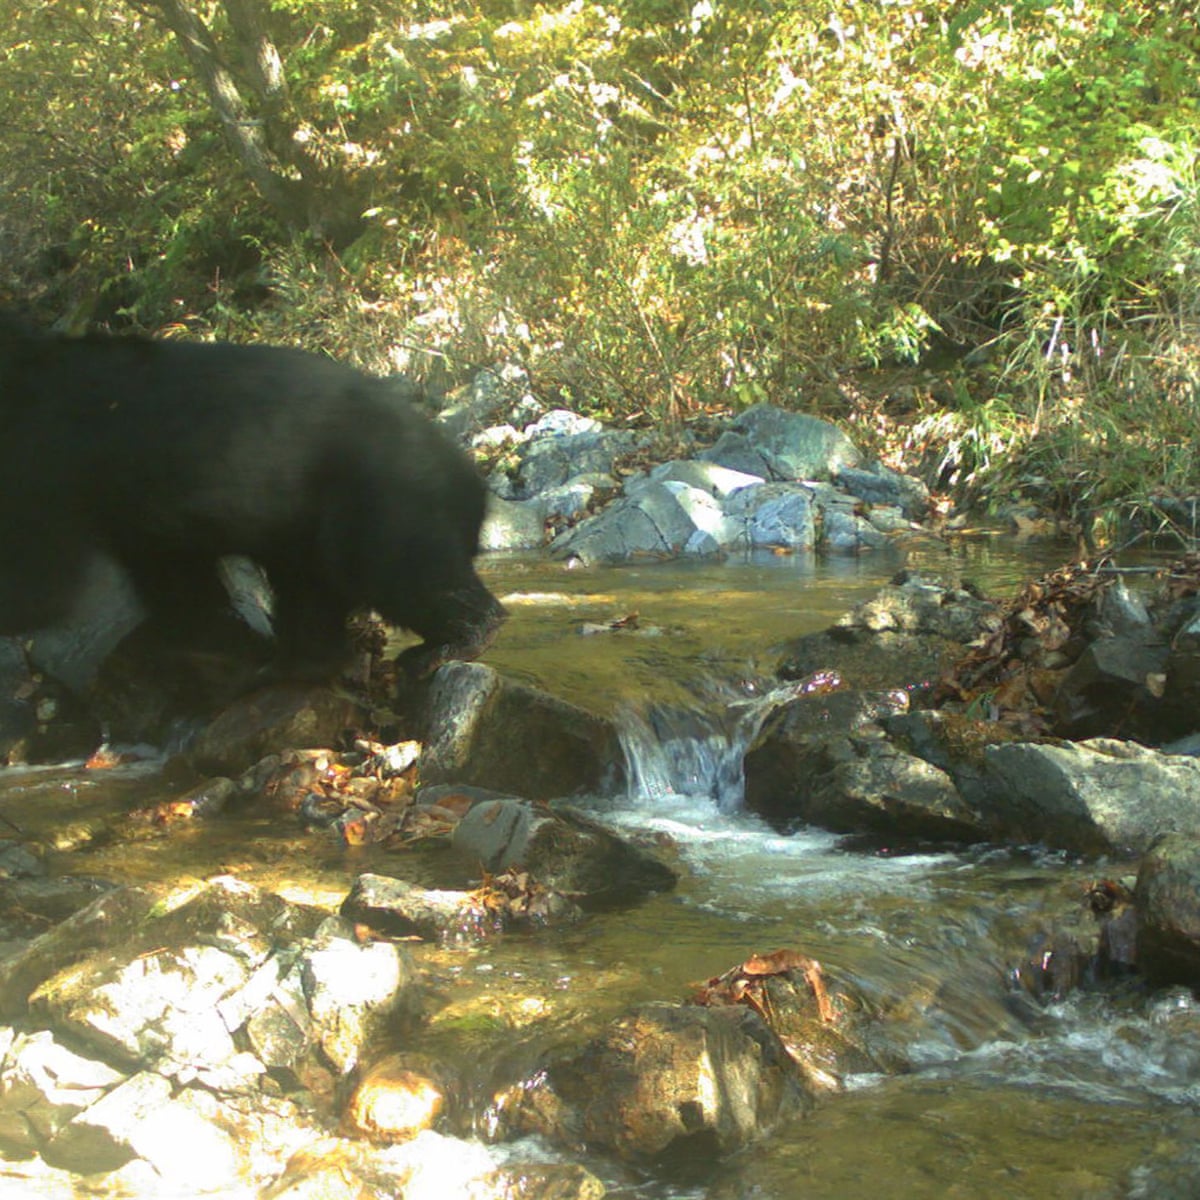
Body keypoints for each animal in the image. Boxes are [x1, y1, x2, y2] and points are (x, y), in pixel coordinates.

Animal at [0, 313, 505, 687]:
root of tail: (468, 473)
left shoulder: (52, 464)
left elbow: (43, 582)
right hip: (307, 520)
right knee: (313, 585)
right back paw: (295, 661)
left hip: (379, 494)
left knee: (394, 567)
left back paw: (442, 646)